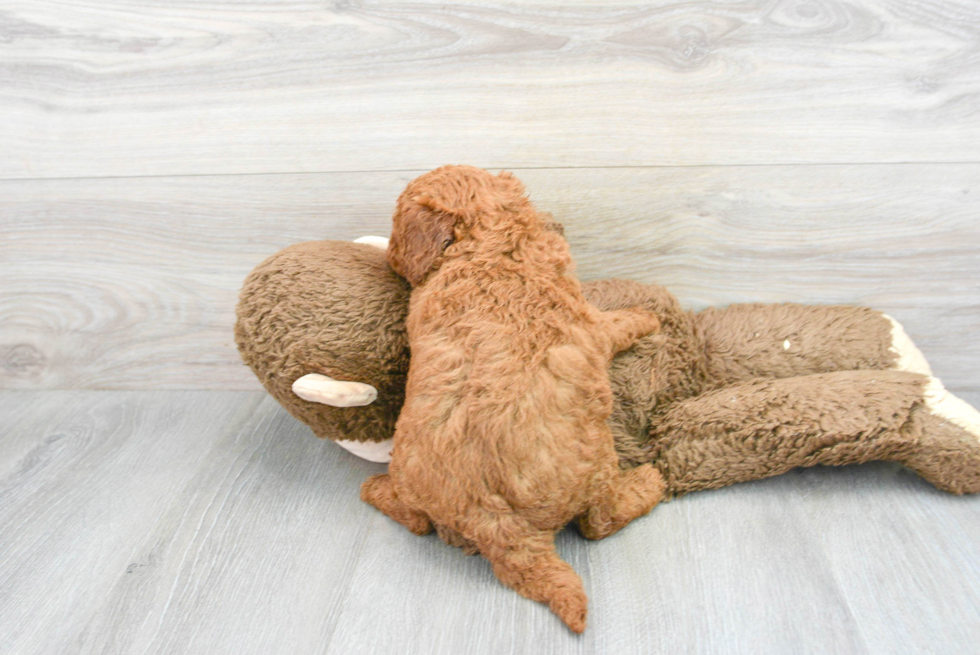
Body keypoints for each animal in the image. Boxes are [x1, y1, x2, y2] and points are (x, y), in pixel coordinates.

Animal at [362, 167, 668, 632]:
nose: (391, 259)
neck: (489, 246)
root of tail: (497, 524)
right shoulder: (593, 324)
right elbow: (618, 322)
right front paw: (647, 316)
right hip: (599, 466)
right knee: (600, 521)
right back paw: (650, 481)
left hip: (412, 483)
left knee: (415, 521)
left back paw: (374, 489)